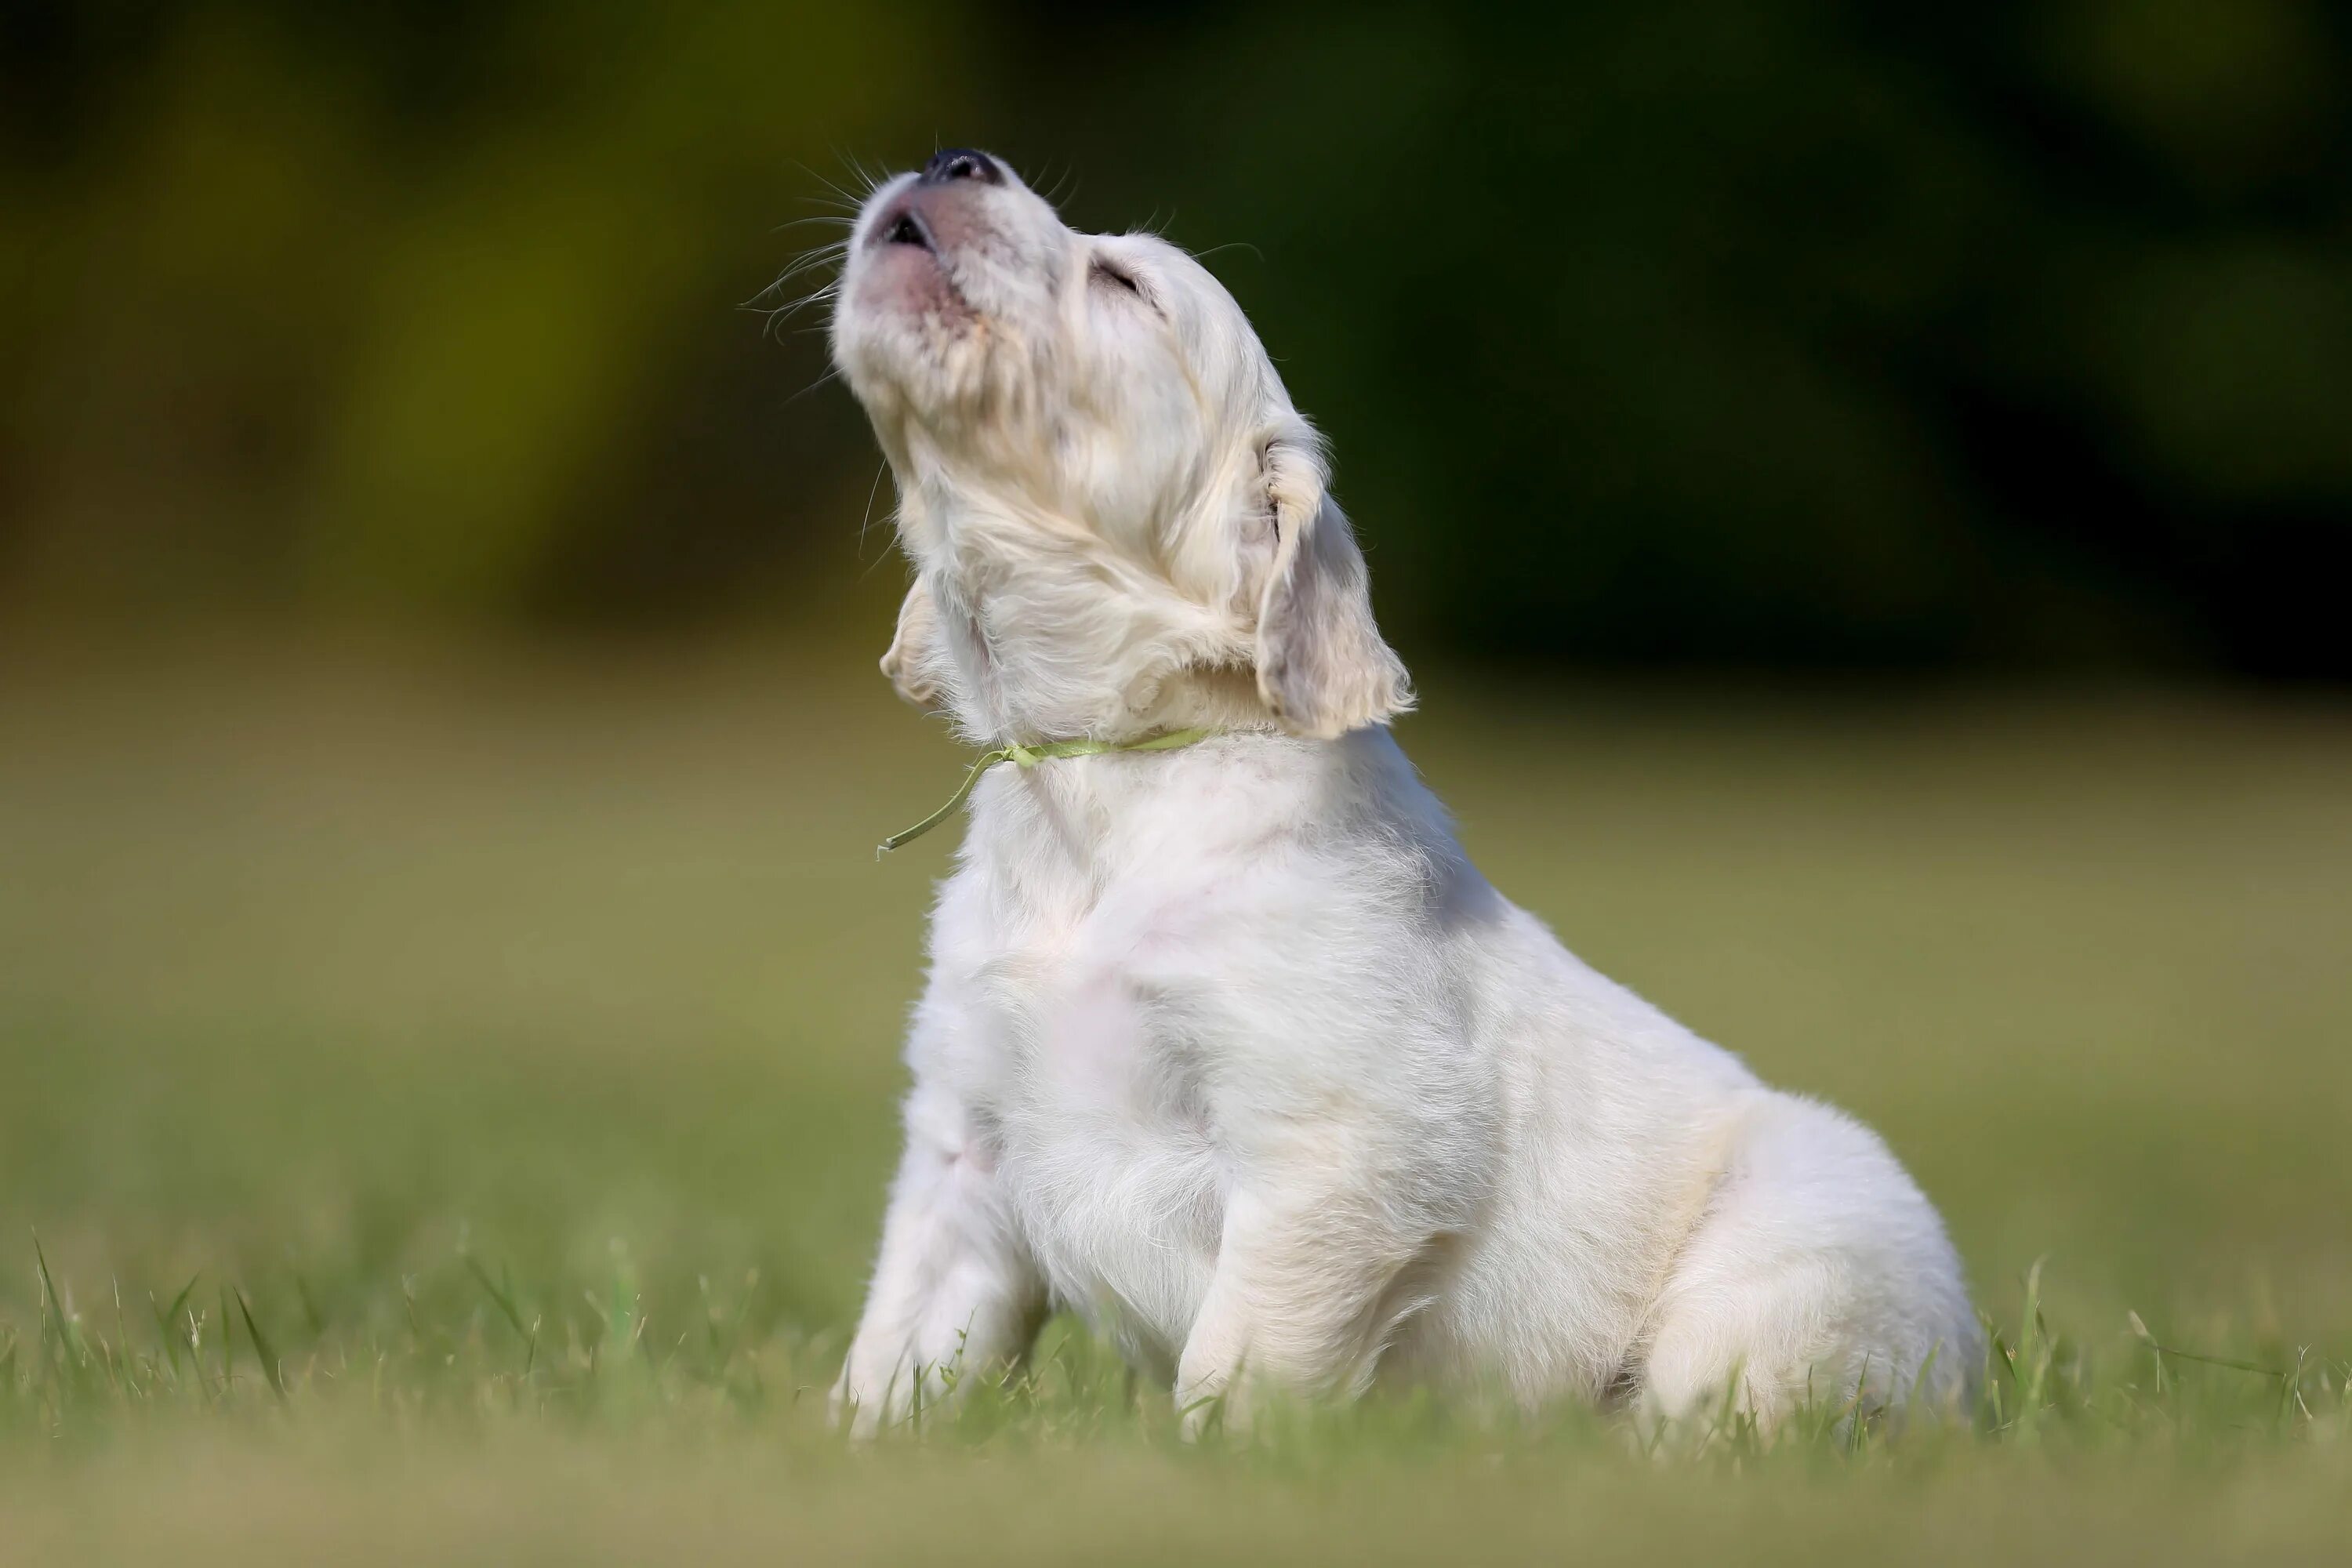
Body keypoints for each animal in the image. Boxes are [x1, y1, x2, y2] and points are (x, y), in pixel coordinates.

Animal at [818, 147, 1976, 1439]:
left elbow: (1240, 1367)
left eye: (1125, 284)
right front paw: (855, 1446)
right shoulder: (965, 1141)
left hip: (1796, 1260)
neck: (1112, 775)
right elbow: (902, 1346)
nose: (953, 160)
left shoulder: (1330, 1148)